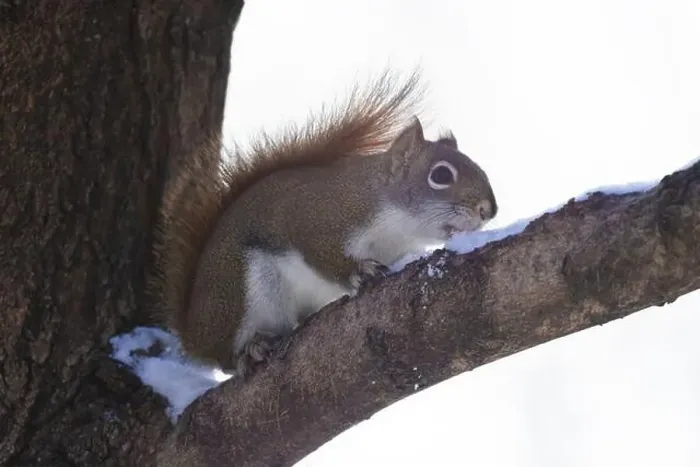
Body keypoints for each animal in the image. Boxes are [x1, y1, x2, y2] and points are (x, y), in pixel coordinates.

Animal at [150, 71, 498, 375]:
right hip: (239, 291)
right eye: (441, 175)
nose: (489, 210)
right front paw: (361, 271)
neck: (396, 227)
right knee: (224, 356)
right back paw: (248, 351)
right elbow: (323, 255)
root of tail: (192, 332)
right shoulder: (318, 220)